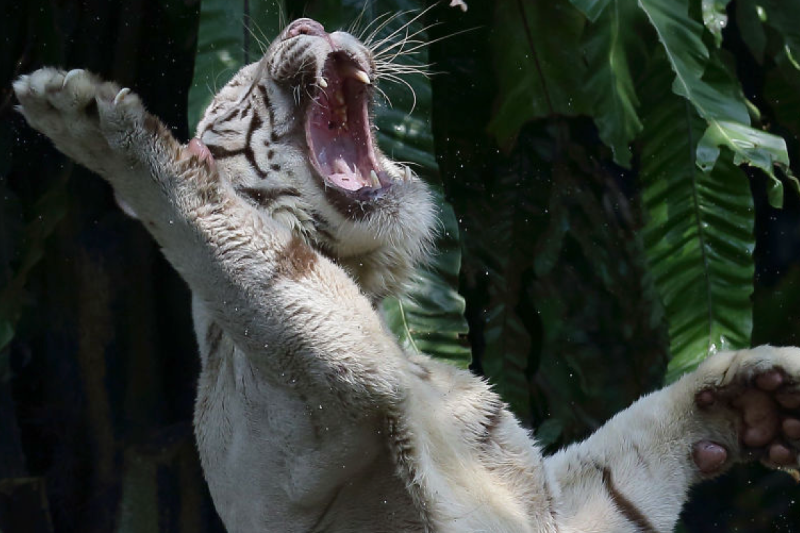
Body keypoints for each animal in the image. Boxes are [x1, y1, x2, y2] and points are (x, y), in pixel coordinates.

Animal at [13, 15, 800, 533]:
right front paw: (98, 129)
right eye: (245, 82)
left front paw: (753, 394)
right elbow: (254, 252)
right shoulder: (309, 396)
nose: (306, 18)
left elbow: (626, 455)